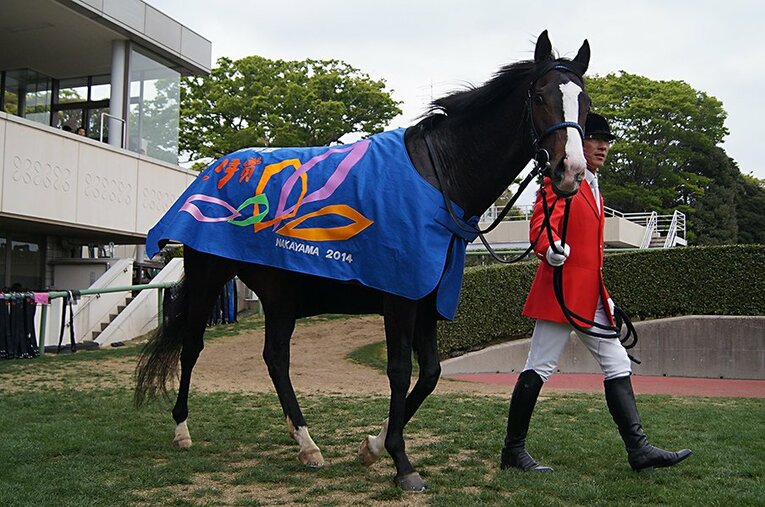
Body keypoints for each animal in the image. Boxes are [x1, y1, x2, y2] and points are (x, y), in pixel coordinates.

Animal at [135, 30, 591, 492]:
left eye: (585, 102)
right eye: (540, 96)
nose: (570, 171)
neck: (439, 179)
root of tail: (213, 170)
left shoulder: (427, 297)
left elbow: (430, 373)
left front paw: (372, 447)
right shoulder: (400, 298)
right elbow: (399, 371)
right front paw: (401, 462)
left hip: (279, 294)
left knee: (276, 359)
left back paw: (306, 444)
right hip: (209, 277)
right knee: (193, 346)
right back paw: (182, 430)